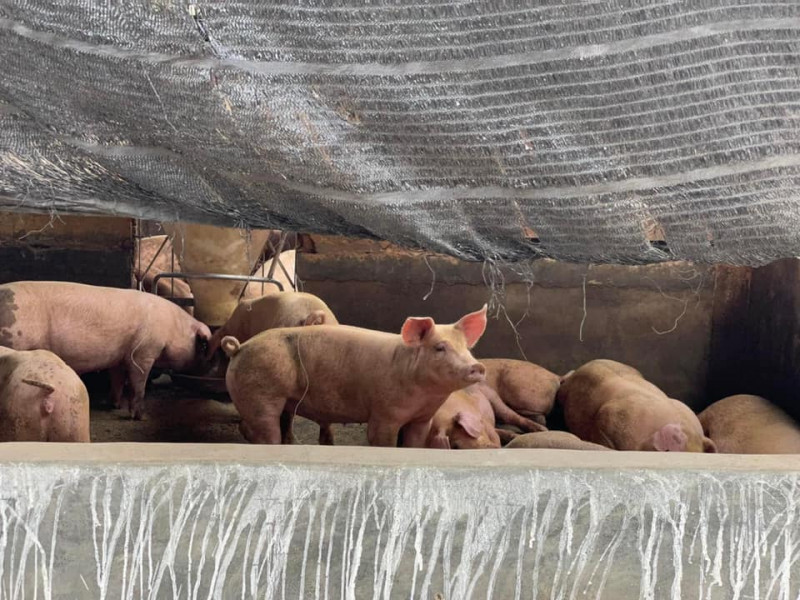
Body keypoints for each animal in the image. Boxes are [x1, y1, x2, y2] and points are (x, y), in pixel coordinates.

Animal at [0, 281, 212, 419]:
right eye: (203, 346)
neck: (174, 329)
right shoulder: (144, 352)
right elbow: (138, 383)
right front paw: (139, 416)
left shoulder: (119, 356)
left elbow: (117, 379)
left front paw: (114, 405)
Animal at [222, 305, 488, 446]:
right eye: (440, 347)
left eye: (467, 348)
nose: (477, 366)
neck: (424, 396)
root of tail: (238, 348)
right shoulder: (384, 413)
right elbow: (381, 439)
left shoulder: (423, 419)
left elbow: (415, 442)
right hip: (261, 394)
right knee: (263, 428)